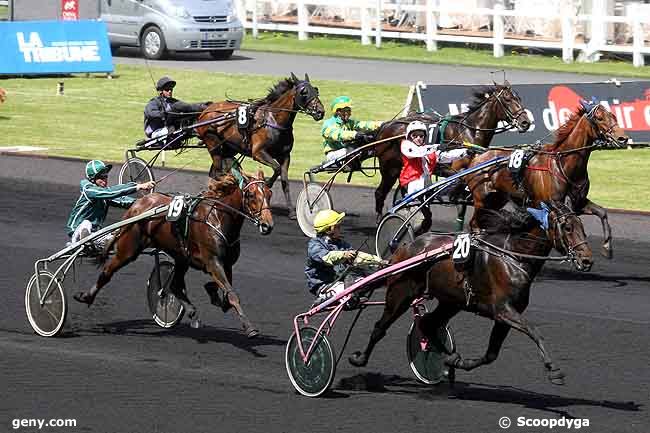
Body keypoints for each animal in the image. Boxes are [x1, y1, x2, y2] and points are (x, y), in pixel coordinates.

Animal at [73, 170, 270, 336]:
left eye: (269, 193)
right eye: (251, 195)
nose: (267, 225)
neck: (218, 218)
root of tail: (137, 205)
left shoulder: (226, 264)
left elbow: (226, 295)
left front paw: (213, 293)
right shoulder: (213, 261)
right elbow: (232, 295)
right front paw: (250, 328)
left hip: (180, 255)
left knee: (174, 285)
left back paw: (192, 312)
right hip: (128, 249)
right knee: (107, 271)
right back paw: (86, 296)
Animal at [194, 73, 322, 219]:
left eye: (316, 90)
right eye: (304, 92)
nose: (320, 111)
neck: (273, 121)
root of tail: (206, 110)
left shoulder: (285, 155)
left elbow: (284, 180)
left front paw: (291, 211)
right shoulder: (258, 152)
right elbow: (277, 168)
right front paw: (267, 184)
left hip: (228, 148)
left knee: (216, 172)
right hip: (213, 143)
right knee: (218, 172)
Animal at [350, 201, 592, 384]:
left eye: (582, 225)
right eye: (568, 227)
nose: (587, 260)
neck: (513, 257)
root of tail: (405, 248)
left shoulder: (504, 316)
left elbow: (491, 354)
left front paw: (460, 362)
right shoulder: (503, 310)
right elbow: (535, 332)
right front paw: (554, 370)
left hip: (451, 302)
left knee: (428, 323)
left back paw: (450, 359)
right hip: (400, 292)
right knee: (380, 327)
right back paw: (359, 359)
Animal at [370, 81, 528, 223]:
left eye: (519, 98)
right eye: (507, 99)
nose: (526, 122)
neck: (470, 131)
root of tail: (386, 125)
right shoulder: (453, 170)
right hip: (390, 168)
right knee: (380, 193)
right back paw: (379, 220)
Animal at [458, 100, 624, 256]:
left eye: (613, 116)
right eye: (599, 118)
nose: (623, 138)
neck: (563, 165)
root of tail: (477, 157)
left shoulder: (578, 203)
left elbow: (602, 212)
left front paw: (607, 247)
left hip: (497, 199)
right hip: (481, 200)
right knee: (475, 224)